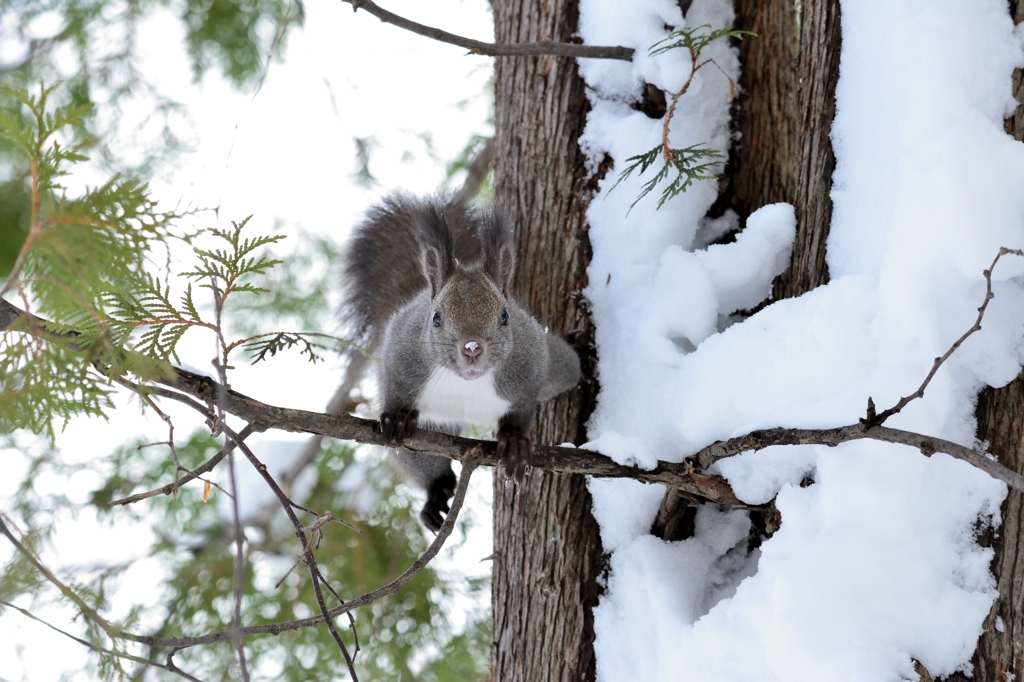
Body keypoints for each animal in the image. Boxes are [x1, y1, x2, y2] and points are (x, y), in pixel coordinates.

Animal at [344, 193, 581, 528]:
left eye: (505, 316)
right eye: (436, 317)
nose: (471, 348)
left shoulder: (531, 367)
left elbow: (522, 410)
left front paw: (515, 442)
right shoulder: (399, 355)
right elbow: (394, 391)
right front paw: (398, 417)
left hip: (557, 367)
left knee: (570, 367)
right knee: (423, 463)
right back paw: (436, 493)